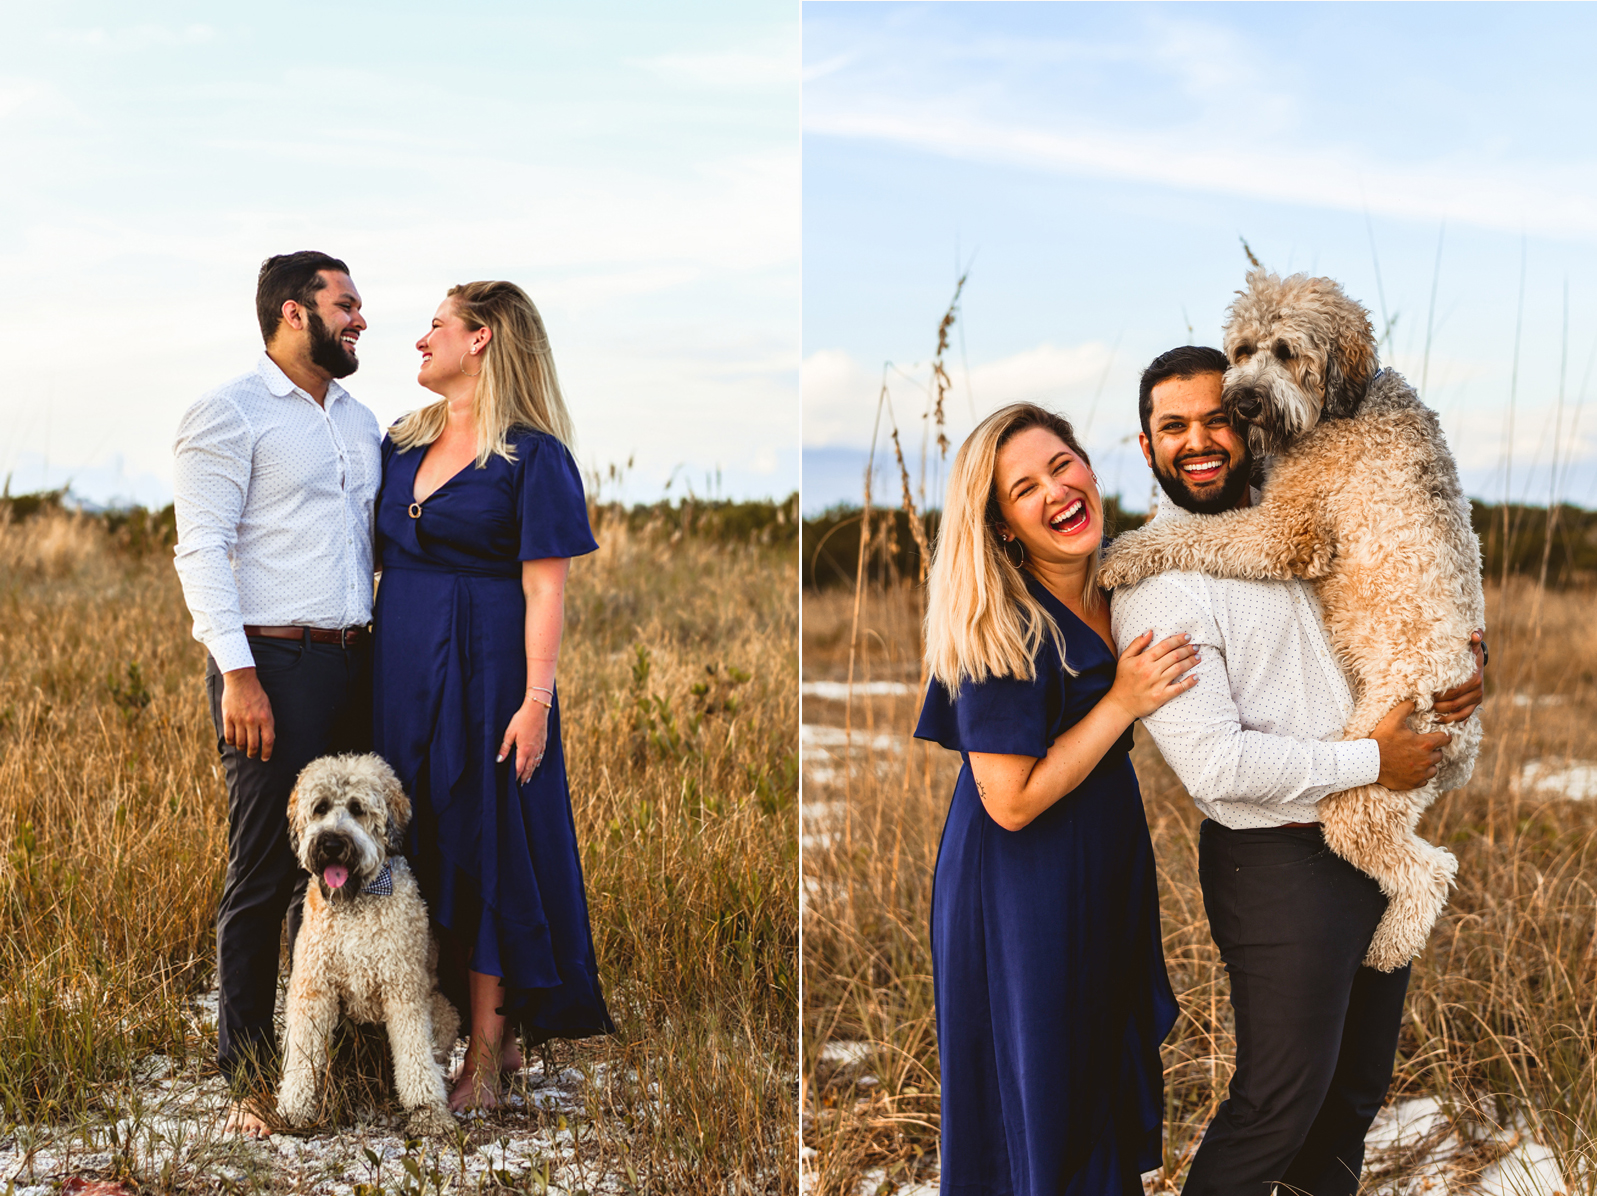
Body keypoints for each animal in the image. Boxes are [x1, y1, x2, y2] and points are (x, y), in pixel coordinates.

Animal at [276, 750, 456, 1136]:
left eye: (358, 808)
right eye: (320, 808)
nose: (331, 844)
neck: (355, 903)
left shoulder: (403, 989)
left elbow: (415, 1057)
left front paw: (428, 1112)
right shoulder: (314, 988)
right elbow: (302, 1055)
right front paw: (294, 1107)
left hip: (444, 1012)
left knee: (431, 1056)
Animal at [1098, 269, 1482, 970]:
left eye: (1284, 350)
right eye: (1243, 348)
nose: (1245, 401)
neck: (1340, 408)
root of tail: (1465, 747)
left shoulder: (1285, 529)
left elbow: (1202, 532)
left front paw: (1123, 554)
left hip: (1367, 791)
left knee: (1430, 870)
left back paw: (1389, 946)